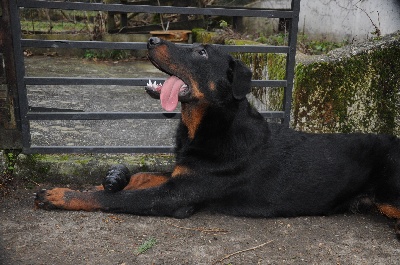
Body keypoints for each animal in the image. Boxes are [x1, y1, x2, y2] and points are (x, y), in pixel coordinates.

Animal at [35, 36, 400, 235]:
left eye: (201, 53)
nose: (151, 40)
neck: (209, 123)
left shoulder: (174, 197)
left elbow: (115, 200)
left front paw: (60, 194)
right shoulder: (182, 174)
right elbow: (141, 174)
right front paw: (113, 178)